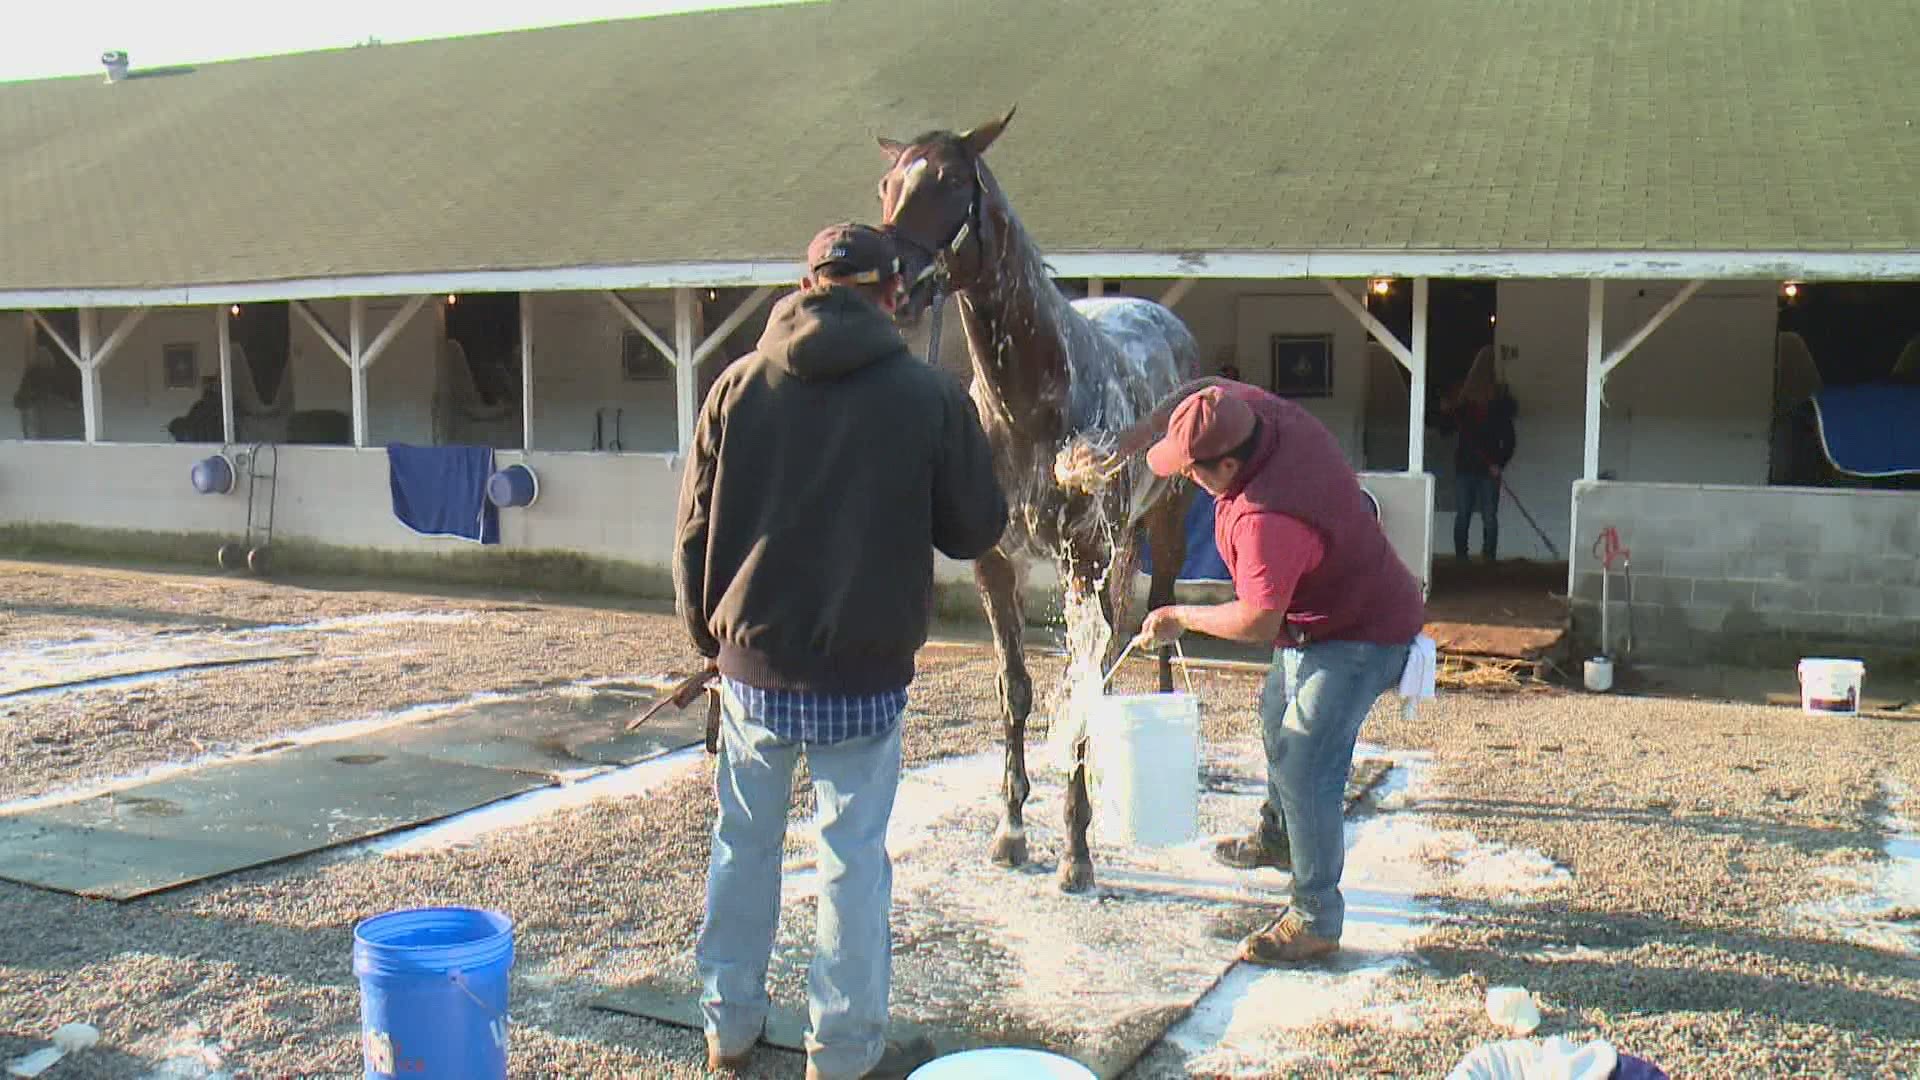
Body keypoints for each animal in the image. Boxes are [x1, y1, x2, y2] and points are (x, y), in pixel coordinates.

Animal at [875, 105, 1198, 887]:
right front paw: (1012, 829)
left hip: (1164, 524)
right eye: (886, 185)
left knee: (1157, 619)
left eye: (950, 181)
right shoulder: (996, 564)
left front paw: (1077, 853)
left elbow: (1077, 684)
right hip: (1121, 544)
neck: (1029, 409)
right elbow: (1016, 688)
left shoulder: (1081, 560)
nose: (896, 282)